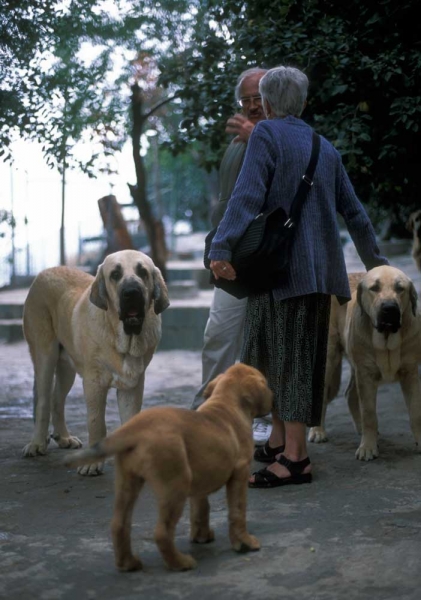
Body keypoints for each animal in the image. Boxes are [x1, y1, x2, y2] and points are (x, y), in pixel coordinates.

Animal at [21, 248, 169, 474]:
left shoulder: (132, 386)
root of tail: (44, 272)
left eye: (142, 272)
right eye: (115, 274)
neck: (121, 338)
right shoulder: (93, 383)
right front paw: (91, 464)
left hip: (67, 368)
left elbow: (131, 420)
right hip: (44, 355)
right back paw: (37, 443)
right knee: (44, 400)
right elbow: (96, 423)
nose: (132, 292)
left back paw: (64, 437)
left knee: (57, 399)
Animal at [65, 360, 272, 572]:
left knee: (119, 525)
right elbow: (237, 511)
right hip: (176, 484)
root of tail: (134, 428)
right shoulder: (240, 472)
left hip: (128, 481)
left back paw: (128, 563)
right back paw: (180, 563)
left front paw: (202, 537)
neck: (226, 402)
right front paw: (245, 543)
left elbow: (201, 508)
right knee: (162, 533)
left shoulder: (200, 480)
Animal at [306, 266, 420, 460]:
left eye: (400, 288)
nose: (389, 308)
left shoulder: (410, 374)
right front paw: (368, 447)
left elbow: (415, 412)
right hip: (329, 359)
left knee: (350, 394)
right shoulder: (366, 376)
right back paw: (318, 431)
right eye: (374, 288)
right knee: (323, 397)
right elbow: (369, 414)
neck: (387, 339)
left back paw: (359, 429)